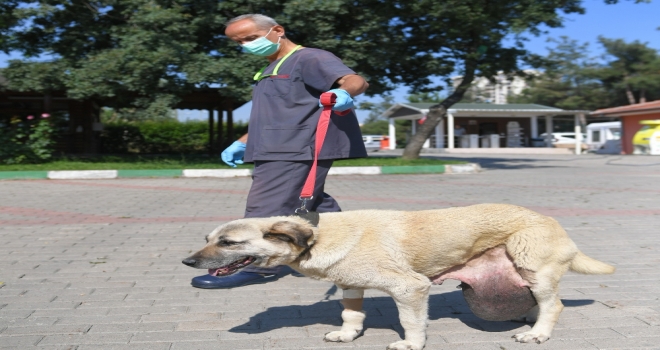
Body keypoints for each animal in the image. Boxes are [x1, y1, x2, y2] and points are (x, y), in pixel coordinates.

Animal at [180, 204, 612, 348]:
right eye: (207, 240)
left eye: (229, 242)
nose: (186, 263)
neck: (318, 238)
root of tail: (558, 226)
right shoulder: (350, 285)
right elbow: (351, 314)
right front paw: (348, 335)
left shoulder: (410, 288)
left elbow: (411, 321)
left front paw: (411, 344)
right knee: (541, 305)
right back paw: (530, 322)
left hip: (532, 269)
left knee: (554, 305)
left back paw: (538, 333)